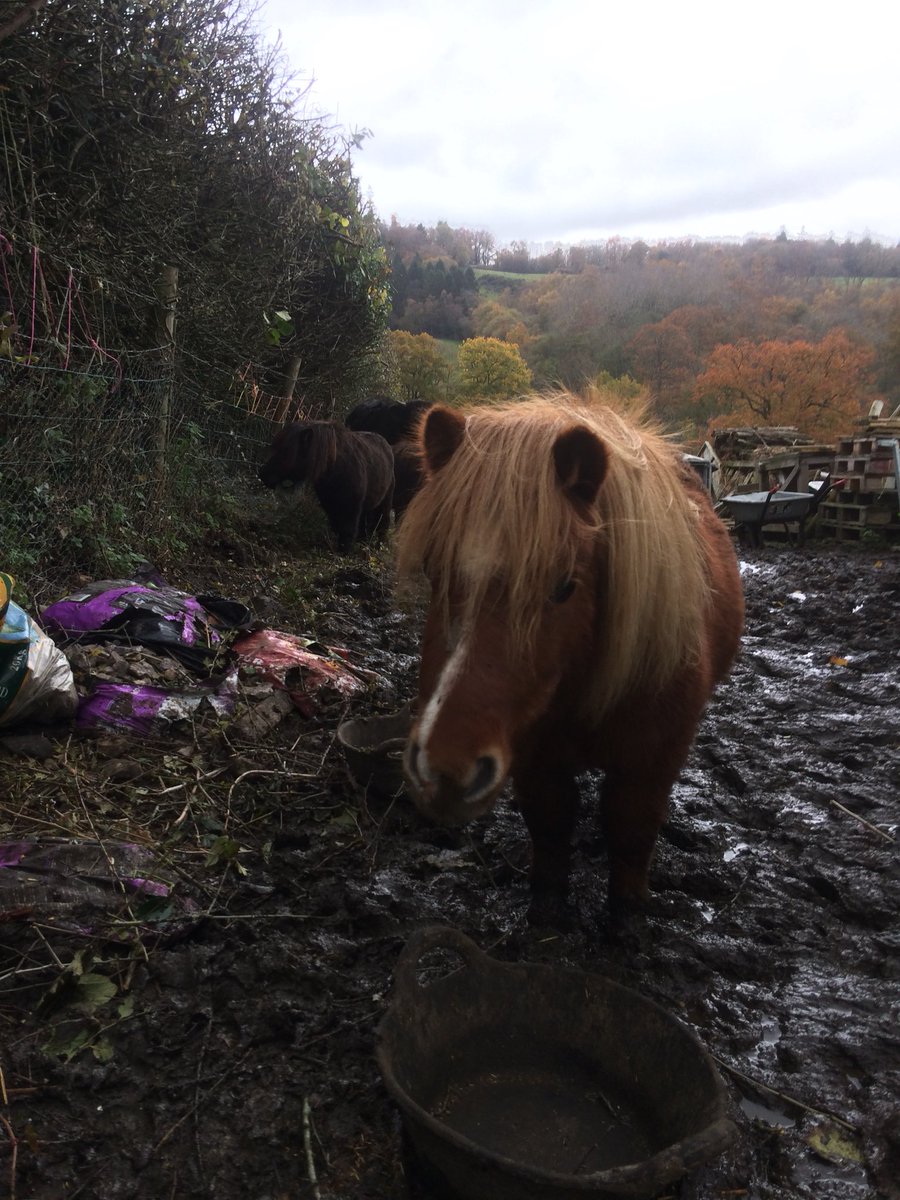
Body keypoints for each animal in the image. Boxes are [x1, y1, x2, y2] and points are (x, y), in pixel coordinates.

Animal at [259, 420, 394, 551]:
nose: (262, 474)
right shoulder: (330, 503)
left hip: (385, 503)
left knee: (383, 522)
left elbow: (348, 529)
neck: (334, 468)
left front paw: (344, 551)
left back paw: (378, 546)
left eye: (285, 452)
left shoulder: (352, 508)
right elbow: (338, 526)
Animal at [396, 390, 744, 923]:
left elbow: (631, 834)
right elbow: (551, 828)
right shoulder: (534, 759)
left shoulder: (652, 761)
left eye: (564, 587)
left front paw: (627, 924)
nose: (443, 771)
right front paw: (547, 916)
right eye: (434, 570)